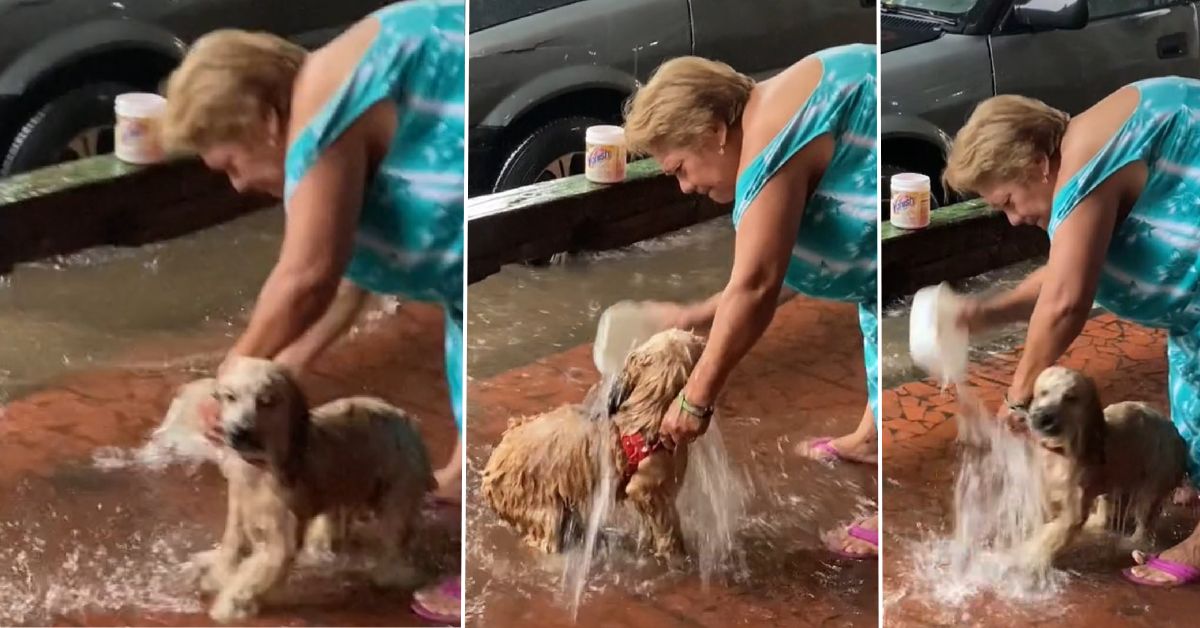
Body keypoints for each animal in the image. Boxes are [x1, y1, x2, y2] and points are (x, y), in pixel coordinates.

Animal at [180, 357, 434, 624]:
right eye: (230, 397)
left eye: (266, 401)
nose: (239, 432)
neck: (261, 465)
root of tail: (403, 418)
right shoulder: (239, 510)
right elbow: (232, 547)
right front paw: (216, 577)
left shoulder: (281, 539)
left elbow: (253, 573)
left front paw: (229, 607)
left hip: (398, 495)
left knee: (394, 540)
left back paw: (395, 575)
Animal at [477, 329, 700, 559]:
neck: (647, 410)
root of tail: (490, 470)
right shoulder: (649, 489)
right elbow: (668, 528)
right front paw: (677, 556)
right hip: (536, 504)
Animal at [1017, 365, 1185, 566]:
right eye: (1043, 392)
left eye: (1070, 398)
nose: (1044, 418)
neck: (1061, 451)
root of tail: (1176, 434)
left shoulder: (1074, 509)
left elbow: (1051, 535)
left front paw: (1026, 556)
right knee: (1105, 515)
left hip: (1154, 483)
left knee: (1143, 525)